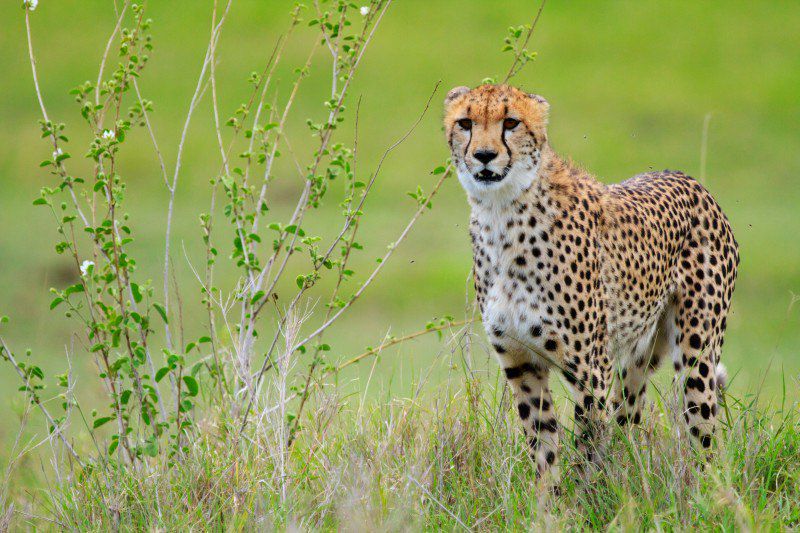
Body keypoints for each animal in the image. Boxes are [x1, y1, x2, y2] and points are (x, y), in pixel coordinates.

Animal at [444, 84, 736, 478]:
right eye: (465, 123)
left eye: (511, 122)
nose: (484, 156)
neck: (501, 213)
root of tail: (687, 179)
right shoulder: (521, 363)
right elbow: (544, 449)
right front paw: (549, 496)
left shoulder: (590, 370)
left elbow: (587, 450)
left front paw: (586, 493)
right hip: (638, 357)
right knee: (627, 420)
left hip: (697, 356)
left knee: (703, 435)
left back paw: (707, 489)